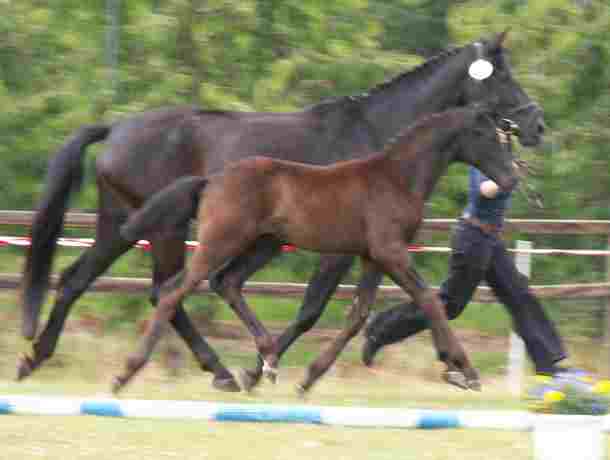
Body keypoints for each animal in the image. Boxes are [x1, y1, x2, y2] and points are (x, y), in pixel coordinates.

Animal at [111, 106, 516, 394]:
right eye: (483, 135)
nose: (511, 178)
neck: (396, 178)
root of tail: (211, 180)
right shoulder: (390, 251)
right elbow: (428, 299)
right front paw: (465, 369)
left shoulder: (372, 255)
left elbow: (358, 315)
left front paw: (309, 377)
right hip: (221, 240)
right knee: (174, 291)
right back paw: (127, 373)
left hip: (263, 243)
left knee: (224, 283)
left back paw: (268, 359)